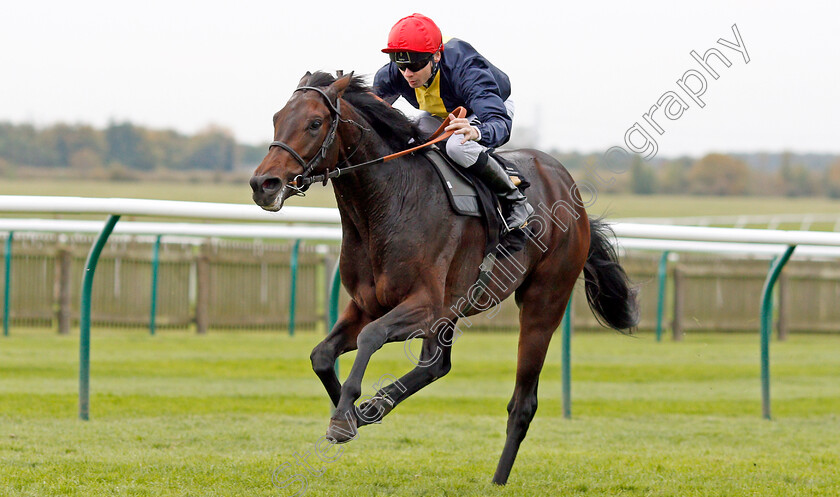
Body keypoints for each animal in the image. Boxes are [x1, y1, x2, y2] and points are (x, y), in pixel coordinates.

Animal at [249, 71, 636, 482]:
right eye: (276, 118)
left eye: (315, 123)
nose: (264, 184)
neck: (388, 203)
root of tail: (569, 187)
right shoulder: (368, 304)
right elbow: (321, 354)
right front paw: (353, 413)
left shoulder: (425, 305)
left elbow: (372, 337)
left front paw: (344, 416)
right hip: (454, 310)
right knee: (437, 364)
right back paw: (377, 406)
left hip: (543, 301)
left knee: (522, 402)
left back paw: (497, 480)